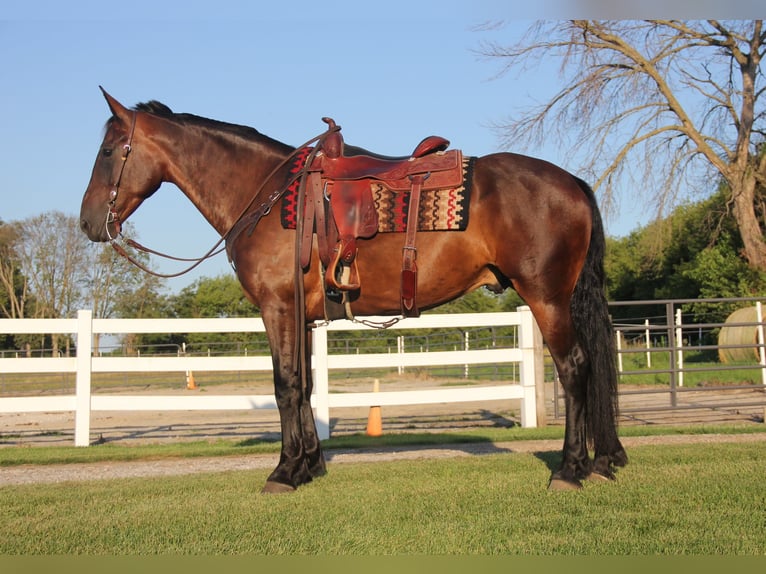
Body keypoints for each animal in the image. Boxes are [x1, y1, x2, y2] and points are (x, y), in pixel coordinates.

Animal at [81, 90, 628, 496]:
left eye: (107, 152)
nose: (88, 223)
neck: (267, 195)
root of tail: (571, 181)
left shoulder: (277, 308)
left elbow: (285, 386)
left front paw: (284, 473)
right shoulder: (299, 315)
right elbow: (304, 386)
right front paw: (309, 466)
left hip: (546, 298)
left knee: (575, 369)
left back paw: (570, 470)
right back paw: (601, 462)